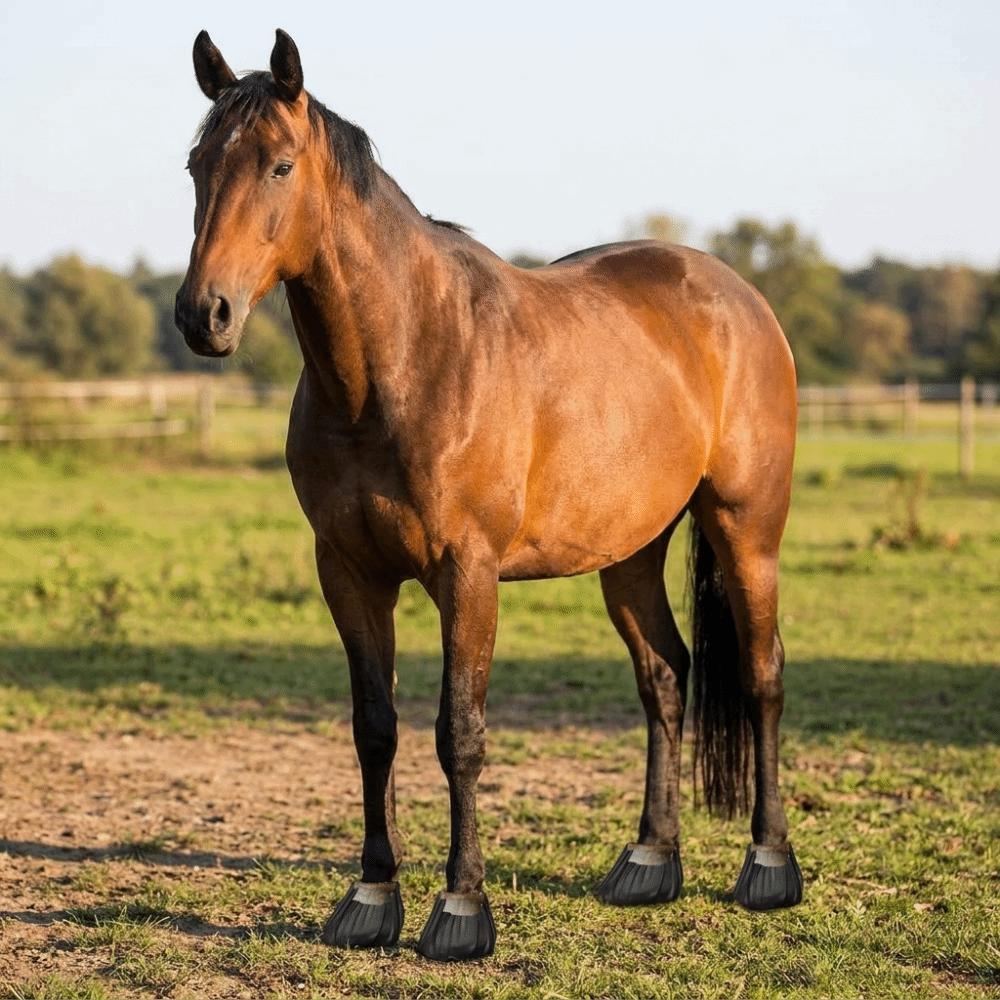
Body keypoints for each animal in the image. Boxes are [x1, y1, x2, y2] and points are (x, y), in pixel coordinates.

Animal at [175, 29, 802, 962]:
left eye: (280, 165)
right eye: (196, 164)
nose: (202, 315)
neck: (401, 362)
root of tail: (738, 298)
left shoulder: (465, 574)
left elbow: (458, 734)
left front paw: (460, 909)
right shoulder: (349, 573)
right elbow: (375, 727)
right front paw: (371, 897)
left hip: (745, 529)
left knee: (761, 677)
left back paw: (768, 865)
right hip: (630, 554)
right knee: (664, 675)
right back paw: (649, 861)